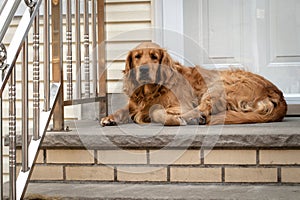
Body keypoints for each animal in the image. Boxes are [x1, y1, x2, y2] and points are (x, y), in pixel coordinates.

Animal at [100, 41, 286, 126]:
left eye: (154, 56)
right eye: (137, 56)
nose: (144, 70)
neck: (151, 91)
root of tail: (277, 93)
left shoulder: (181, 103)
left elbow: (155, 112)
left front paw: (172, 117)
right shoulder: (135, 104)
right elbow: (124, 109)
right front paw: (109, 118)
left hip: (219, 84)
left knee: (203, 108)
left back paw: (191, 118)